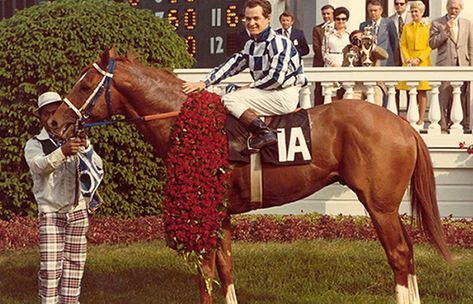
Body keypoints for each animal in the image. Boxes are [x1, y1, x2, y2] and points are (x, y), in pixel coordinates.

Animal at [48, 50, 450, 304]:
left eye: (84, 85)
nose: (53, 122)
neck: (183, 120)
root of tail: (403, 124)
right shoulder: (222, 213)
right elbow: (225, 269)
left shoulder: (203, 214)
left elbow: (205, 275)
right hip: (389, 207)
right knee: (408, 253)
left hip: (379, 206)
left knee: (399, 255)